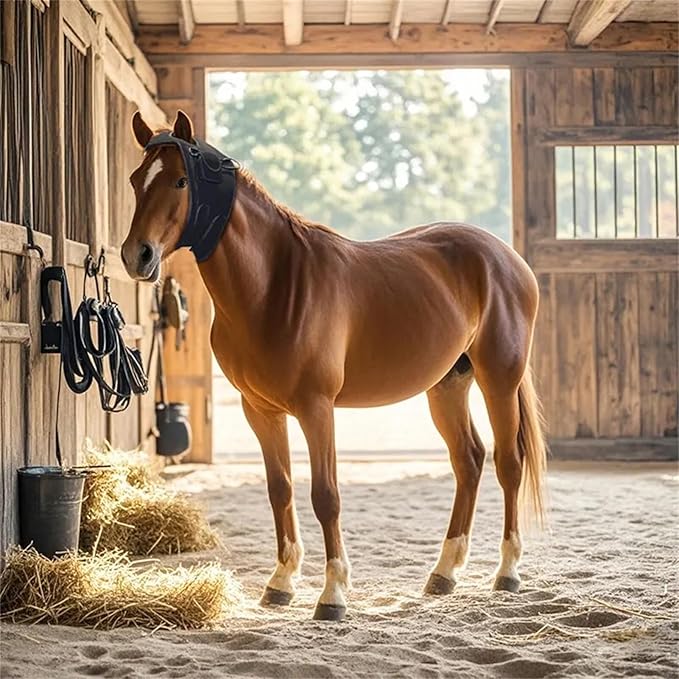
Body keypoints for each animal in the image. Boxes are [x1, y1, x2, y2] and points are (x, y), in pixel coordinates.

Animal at [121, 110, 547, 621]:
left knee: (508, 463)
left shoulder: (316, 408)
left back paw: (507, 572)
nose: (137, 255)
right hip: (447, 386)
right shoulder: (260, 411)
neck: (275, 285)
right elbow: (280, 489)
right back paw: (444, 573)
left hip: (498, 380)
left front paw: (333, 594)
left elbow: (325, 496)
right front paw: (281, 583)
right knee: (469, 460)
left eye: (181, 181)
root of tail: (507, 258)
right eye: (135, 180)